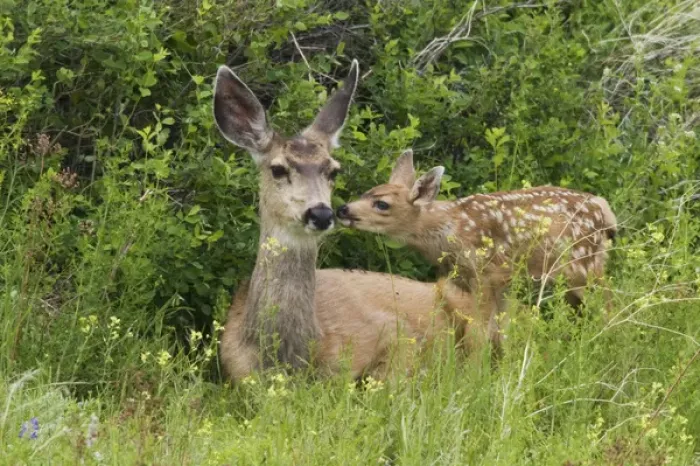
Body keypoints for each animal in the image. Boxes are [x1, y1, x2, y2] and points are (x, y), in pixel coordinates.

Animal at [336, 149, 617, 338]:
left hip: (582, 265)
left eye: (382, 204)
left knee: (608, 307)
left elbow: (481, 329)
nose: (342, 209)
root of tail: (604, 210)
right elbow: (501, 328)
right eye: (366, 192)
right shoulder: (496, 281)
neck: (450, 229)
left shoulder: (486, 272)